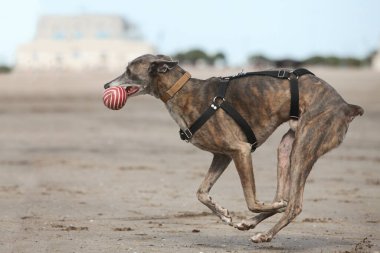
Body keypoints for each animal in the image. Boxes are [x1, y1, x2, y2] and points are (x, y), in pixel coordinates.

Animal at [103, 53, 362, 243]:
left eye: (129, 71)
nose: (106, 84)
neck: (182, 92)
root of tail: (347, 106)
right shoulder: (222, 155)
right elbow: (201, 193)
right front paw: (224, 214)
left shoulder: (241, 150)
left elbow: (251, 200)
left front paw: (240, 212)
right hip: (287, 147)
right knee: (284, 195)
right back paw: (253, 221)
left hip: (305, 146)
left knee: (294, 205)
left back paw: (265, 233)